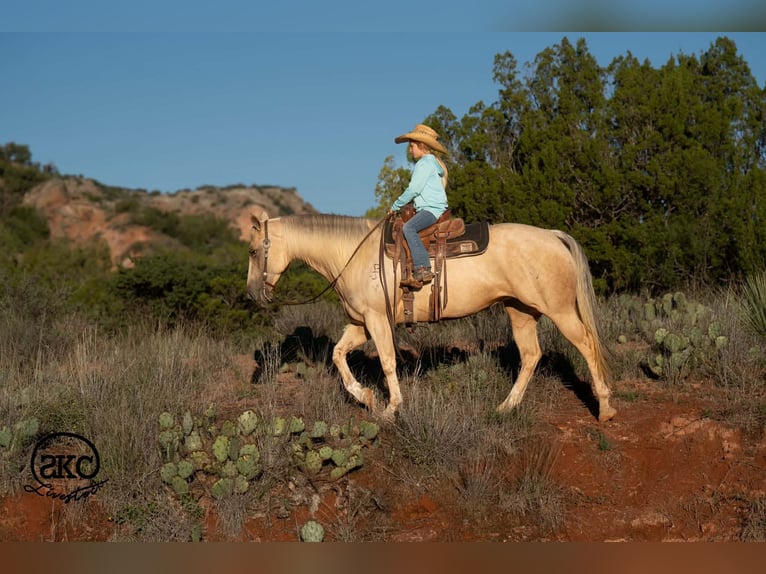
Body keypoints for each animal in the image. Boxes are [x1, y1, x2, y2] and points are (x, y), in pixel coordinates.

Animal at [246, 206, 617, 423]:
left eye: (252, 251)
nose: (251, 293)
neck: (354, 254)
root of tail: (553, 235)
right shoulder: (360, 323)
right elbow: (338, 355)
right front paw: (367, 397)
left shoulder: (377, 320)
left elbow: (387, 362)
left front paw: (391, 408)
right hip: (521, 311)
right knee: (530, 356)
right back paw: (505, 407)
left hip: (559, 310)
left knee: (586, 345)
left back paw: (605, 408)